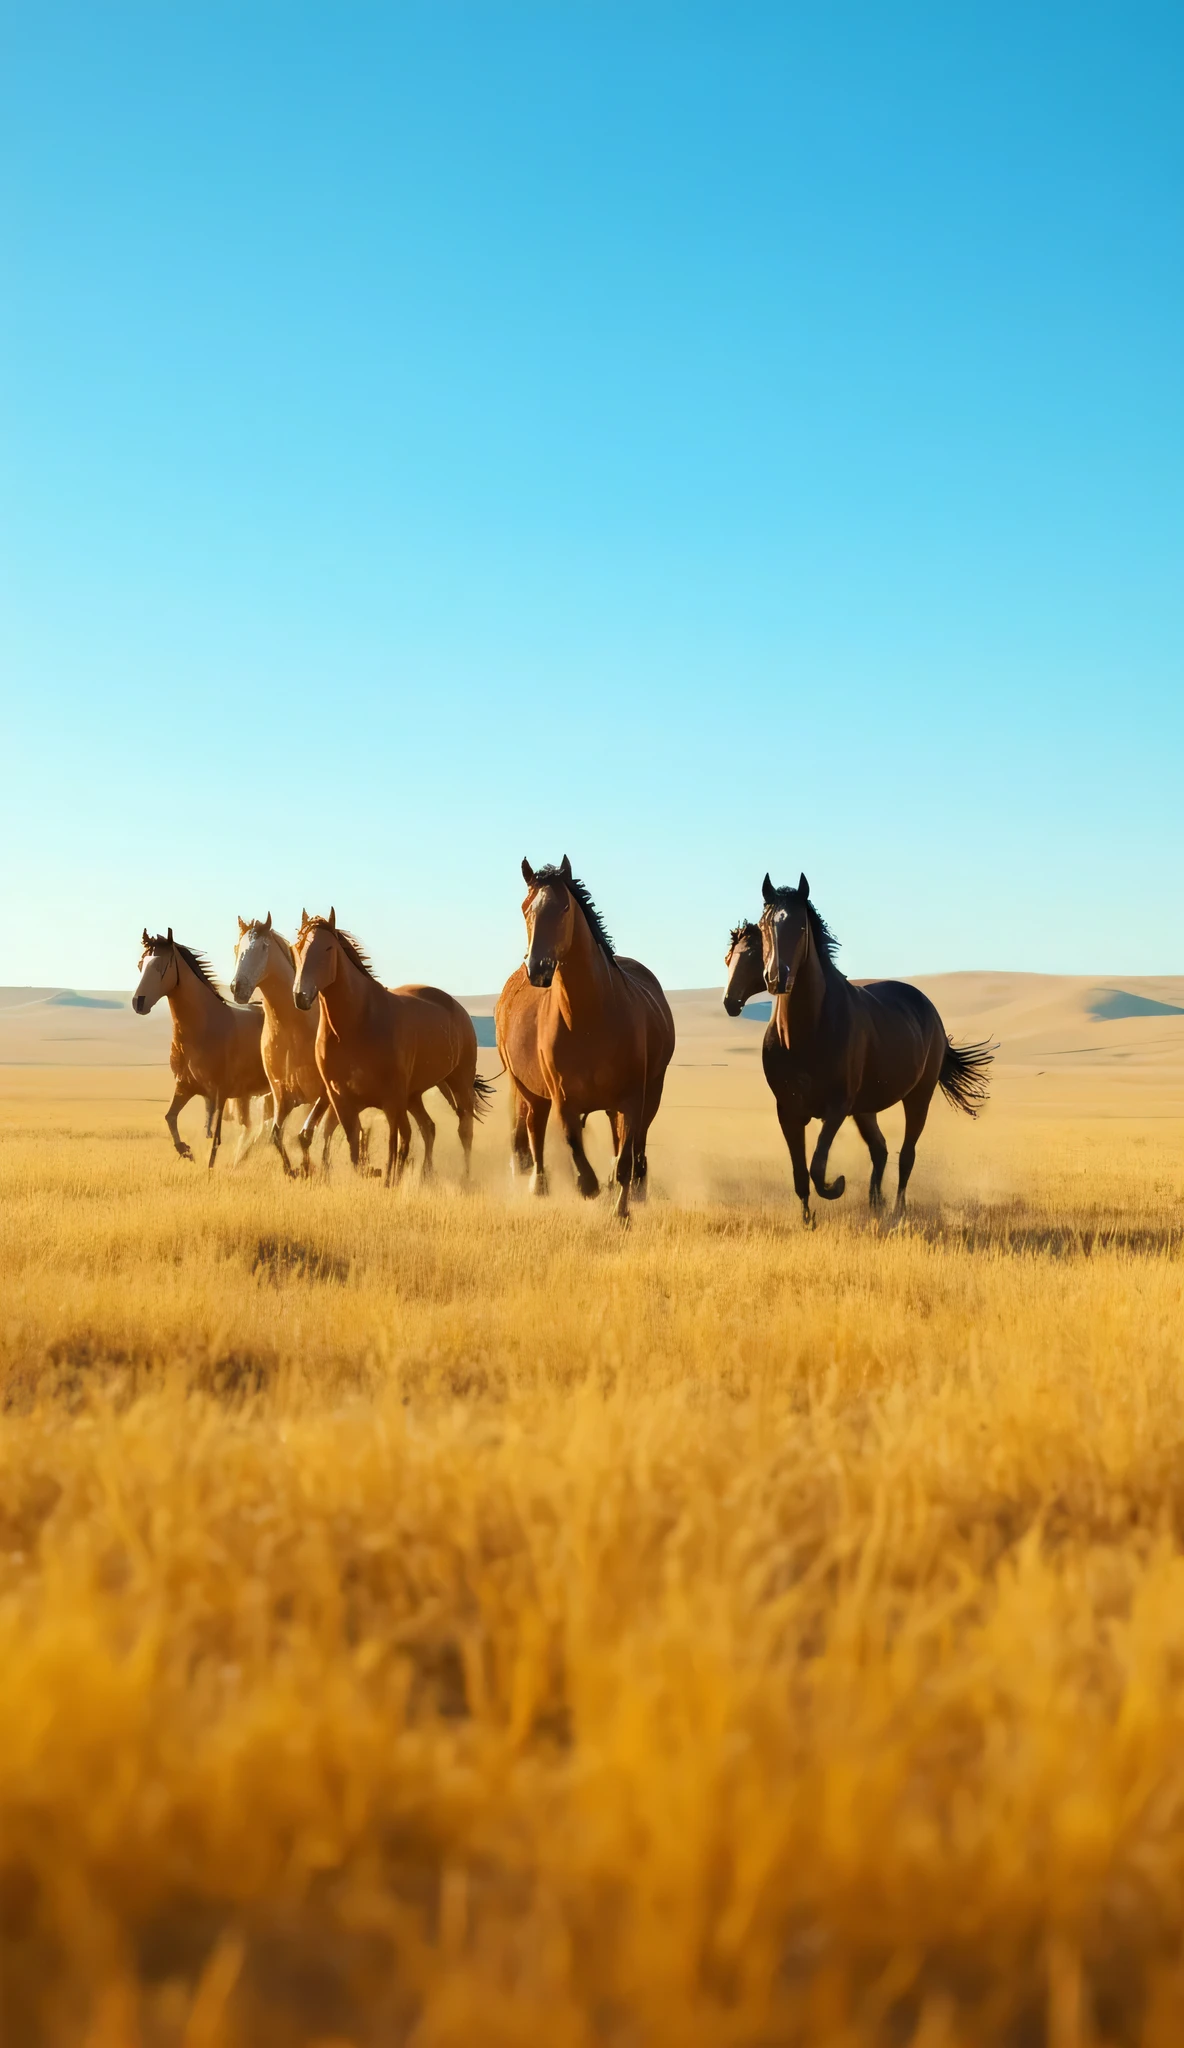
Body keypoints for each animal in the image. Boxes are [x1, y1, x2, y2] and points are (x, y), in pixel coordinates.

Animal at [132, 929, 269, 1168]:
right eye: (141, 964)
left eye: (162, 966)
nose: (139, 1002)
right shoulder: (185, 1087)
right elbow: (170, 1118)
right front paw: (186, 1151)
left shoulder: (220, 1093)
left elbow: (214, 1136)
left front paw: (208, 1167)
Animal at [230, 914, 340, 1177]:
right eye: (237, 948)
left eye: (263, 947)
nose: (238, 987)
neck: (293, 1029)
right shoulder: (282, 1097)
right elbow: (276, 1135)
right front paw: (293, 1171)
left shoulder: (324, 1094)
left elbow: (307, 1135)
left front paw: (308, 1169)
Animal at [290, 909, 493, 1184]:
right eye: (298, 946)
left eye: (328, 948)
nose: (301, 996)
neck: (357, 1024)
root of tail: (457, 1007)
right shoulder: (340, 1099)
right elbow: (355, 1147)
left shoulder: (392, 1100)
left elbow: (393, 1145)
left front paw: (387, 1180)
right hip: (414, 1095)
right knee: (428, 1128)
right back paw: (426, 1177)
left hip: (458, 1082)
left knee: (465, 1130)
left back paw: (465, 1179)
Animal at [495, 856, 676, 1223]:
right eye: (525, 908)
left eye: (564, 907)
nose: (538, 968)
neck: (589, 1019)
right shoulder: (563, 1099)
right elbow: (572, 1143)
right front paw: (588, 1187)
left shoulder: (632, 1100)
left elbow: (624, 1159)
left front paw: (620, 1210)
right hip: (529, 1091)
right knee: (534, 1129)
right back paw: (539, 1186)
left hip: (648, 1094)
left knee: (633, 1145)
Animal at [755, 873, 993, 1224]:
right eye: (762, 925)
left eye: (800, 927)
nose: (776, 978)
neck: (804, 1034)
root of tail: (928, 1008)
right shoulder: (788, 1110)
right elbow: (800, 1171)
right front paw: (807, 1219)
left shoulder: (837, 1108)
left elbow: (817, 1166)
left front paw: (836, 1186)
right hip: (865, 1107)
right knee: (879, 1149)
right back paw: (876, 1204)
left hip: (917, 1096)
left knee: (906, 1154)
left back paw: (896, 1210)